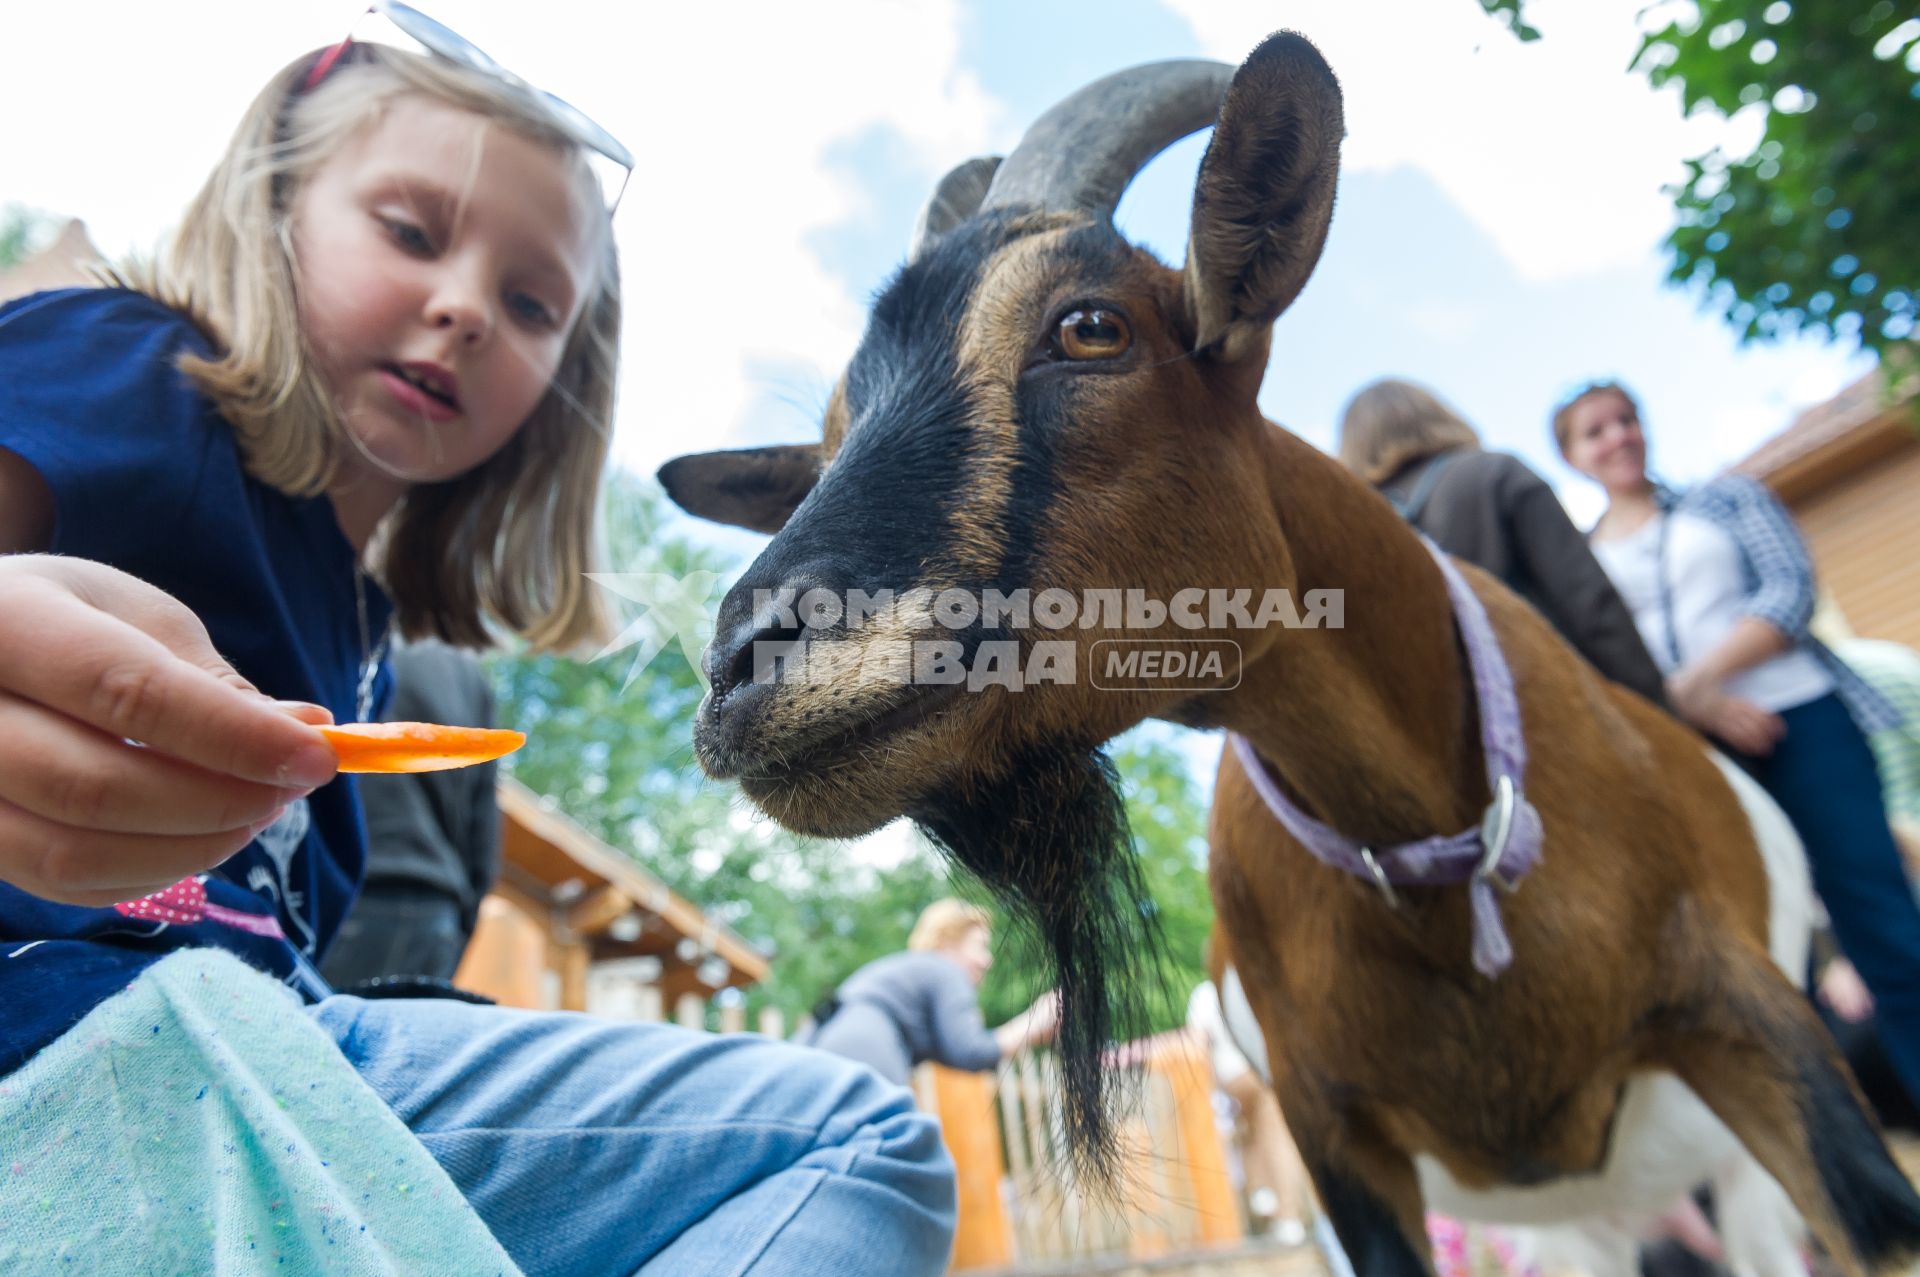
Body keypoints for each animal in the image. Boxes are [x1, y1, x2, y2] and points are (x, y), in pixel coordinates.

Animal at [656, 32, 1920, 1275]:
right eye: (828, 437)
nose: (743, 671)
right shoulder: (1333, 1137)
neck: (1440, 847)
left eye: (1092, 326)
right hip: (1567, 1221)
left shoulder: (1754, 1023)